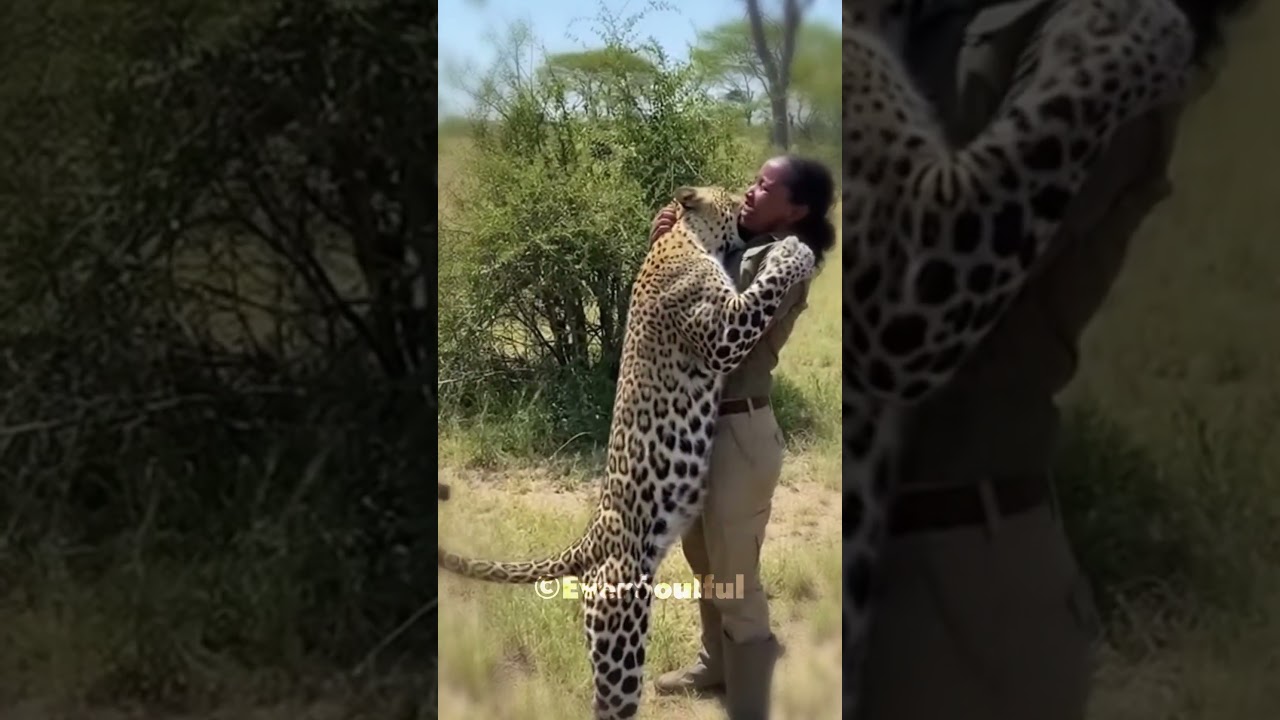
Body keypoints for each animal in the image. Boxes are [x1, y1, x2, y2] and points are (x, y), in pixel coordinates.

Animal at [439, 185, 818, 719]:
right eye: (734, 196)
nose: (748, 200)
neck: (688, 239)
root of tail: (591, 538)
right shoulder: (723, 331)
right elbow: (764, 288)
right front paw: (795, 252)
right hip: (621, 628)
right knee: (611, 702)